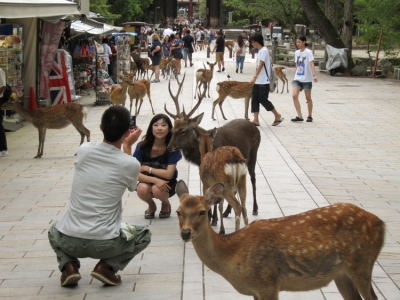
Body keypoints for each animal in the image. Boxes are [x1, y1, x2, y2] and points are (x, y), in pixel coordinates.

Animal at [164, 74, 260, 225]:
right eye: (172, 129)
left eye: (183, 131)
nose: (169, 147)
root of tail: (256, 128)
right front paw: (211, 216)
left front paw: (213, 219)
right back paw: (227, 212)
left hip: (253, 154)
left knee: (253, 179)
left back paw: (255, 209)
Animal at [177, 180, 386, 300]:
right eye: (178, 211)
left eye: (202, 212)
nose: (185, 233)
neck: (232, 251)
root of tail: (381, 224)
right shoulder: (256, 290)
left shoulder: (268, 282)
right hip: (341, 273)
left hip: (362, 263)